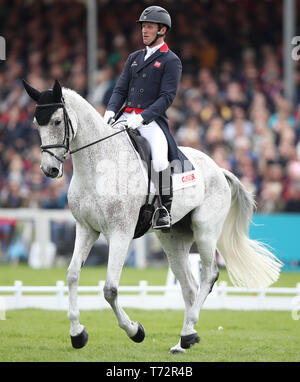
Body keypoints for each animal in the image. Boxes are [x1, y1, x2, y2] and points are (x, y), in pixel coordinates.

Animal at [22, 79, 282, 354]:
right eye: (36, 124)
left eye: (57, 121)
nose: (50, 169)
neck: (100, 164)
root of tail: (218, 168)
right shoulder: (85, 228)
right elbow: (72, 275)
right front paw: (77, 333)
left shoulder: (121, 233)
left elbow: (110, 289)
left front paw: (135, 331)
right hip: (173, 239)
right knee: (189, 286)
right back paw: (184, 339)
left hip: (206, 232)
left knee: (209, 276)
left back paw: (187, 335)